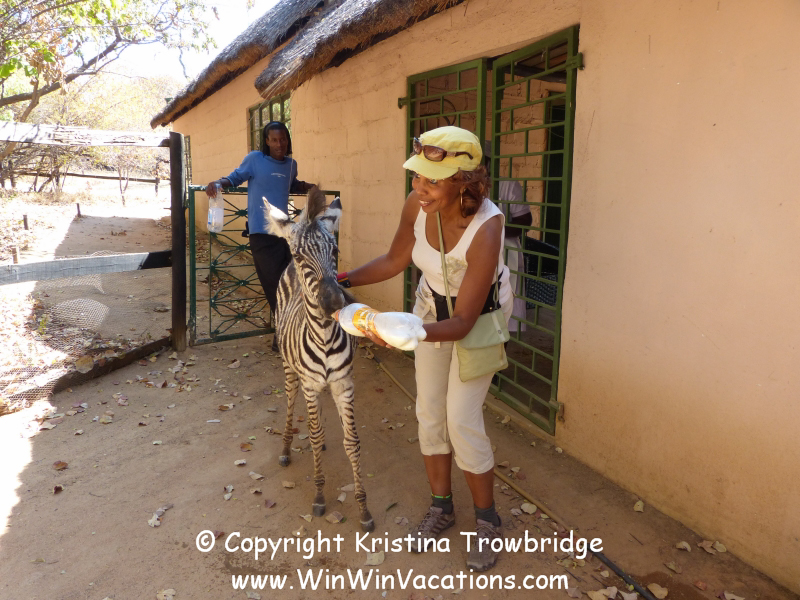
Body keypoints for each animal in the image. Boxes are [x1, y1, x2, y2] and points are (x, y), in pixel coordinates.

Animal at [266, 187, 375, 533]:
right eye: (302, 257)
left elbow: (352, 441)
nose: (335, 303)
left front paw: (364, 508)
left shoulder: (343, 384)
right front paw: (319, 496)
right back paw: (285, 448)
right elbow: (313, 436)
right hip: (289, 369)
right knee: (290, 402)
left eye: (336, 250)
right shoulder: (311, 384)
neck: (325, 337)